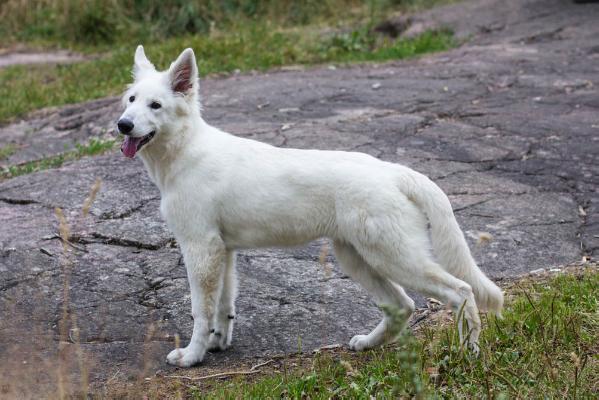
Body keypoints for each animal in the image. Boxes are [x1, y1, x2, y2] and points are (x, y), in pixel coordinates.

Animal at [116, 45, 502, 368]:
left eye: (155, 105)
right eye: (130, 100)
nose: (122, 124)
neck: (186, 150)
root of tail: (394, 171)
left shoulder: (200, 249)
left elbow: (200, 311)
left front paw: (192, 356)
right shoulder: (223, 252)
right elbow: (223, 307)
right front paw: (216, 344)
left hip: (396, 258)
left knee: (461, 292)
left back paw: (469, 353)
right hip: (357, 257)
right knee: (402, 305)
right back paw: (369, 343)